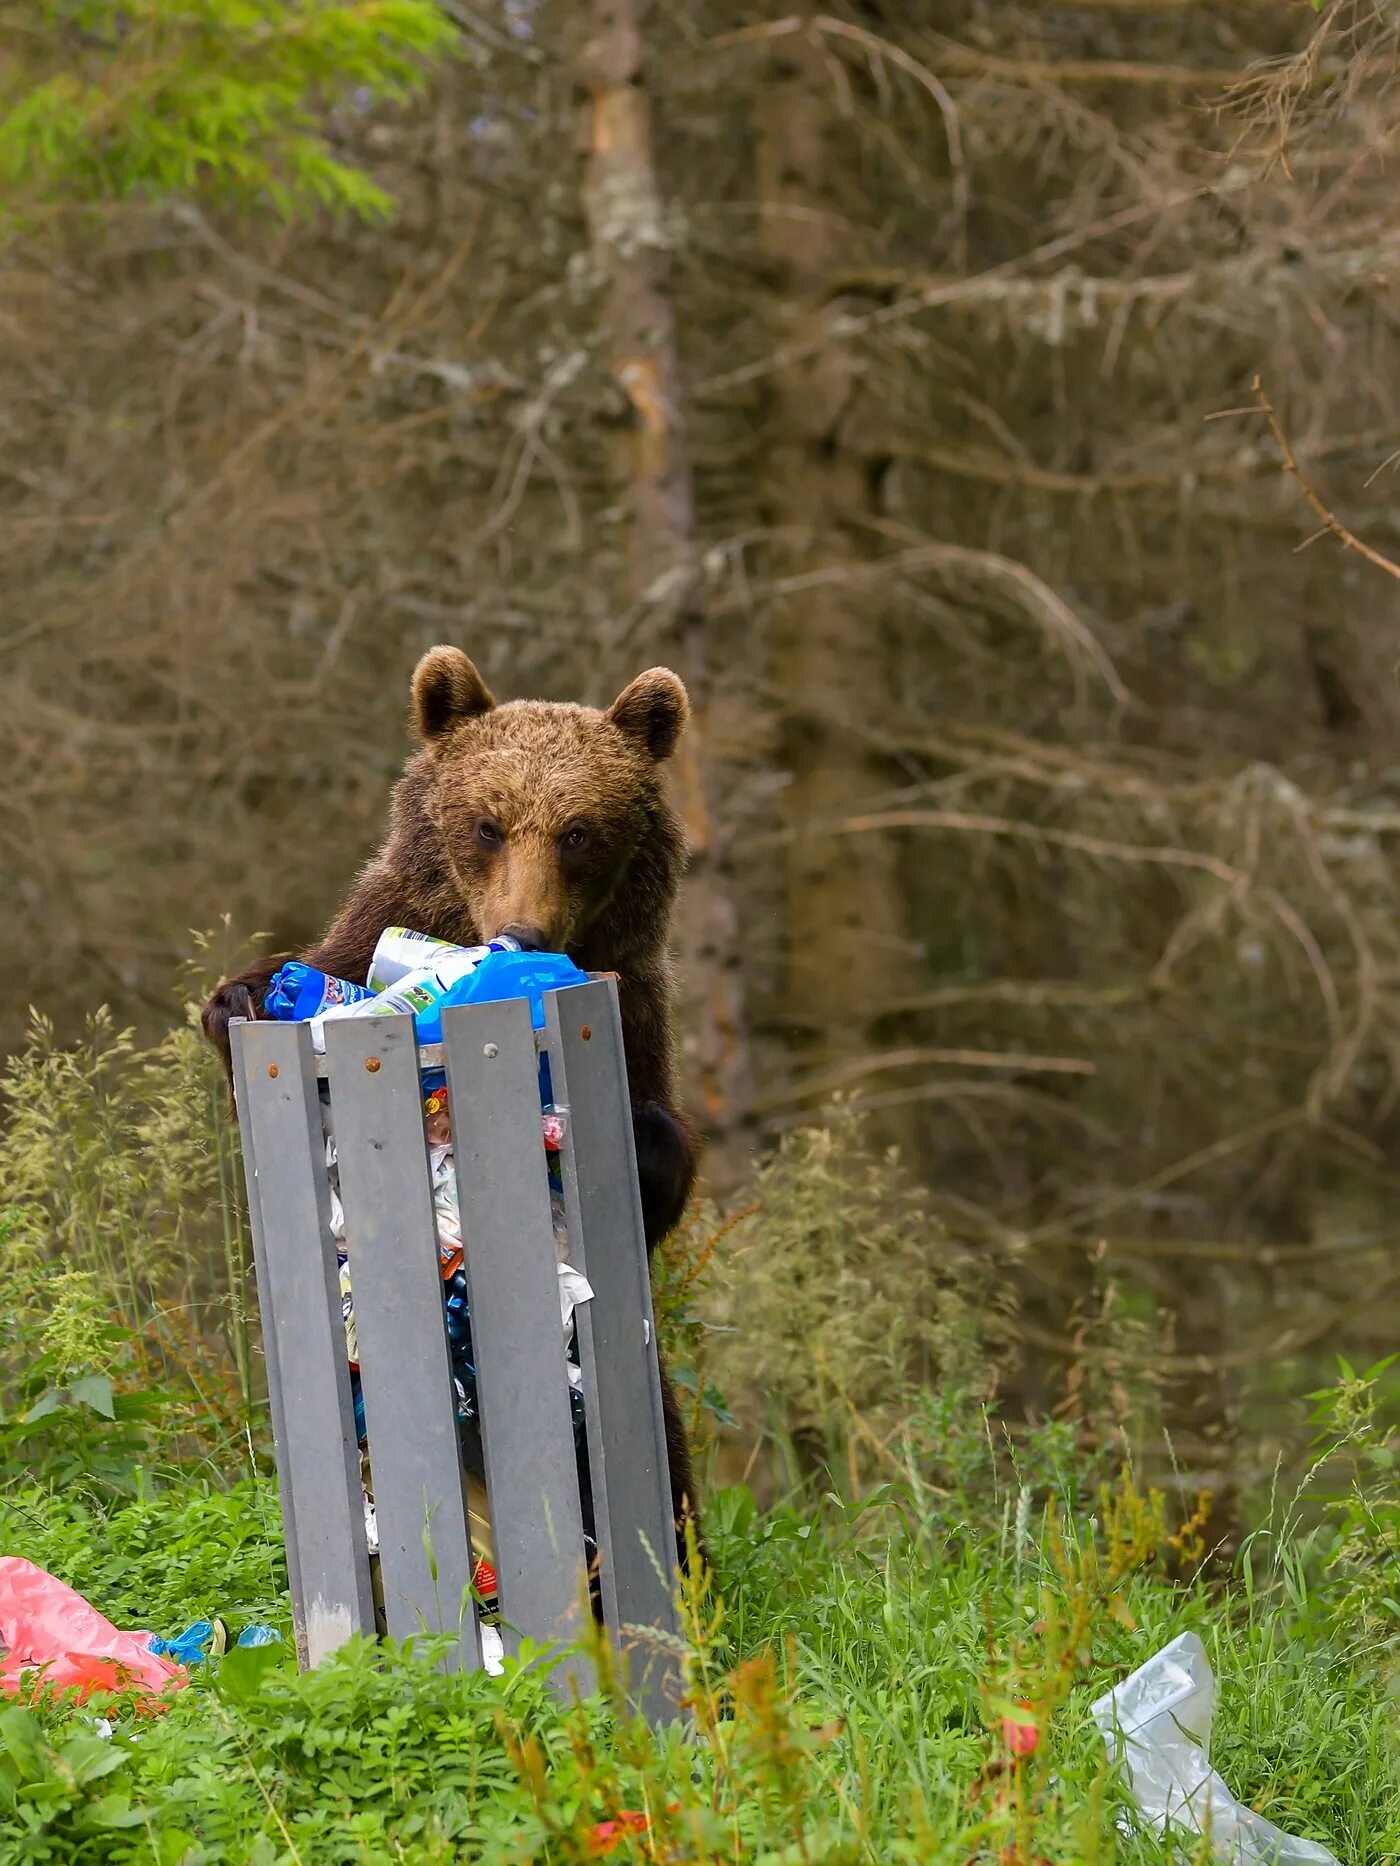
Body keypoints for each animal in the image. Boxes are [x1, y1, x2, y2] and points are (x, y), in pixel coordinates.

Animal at [202, 649, 705, 1552]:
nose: (526, 932)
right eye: (486, 824)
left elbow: (664, 1159)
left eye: (579, 831)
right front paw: (240, 1000)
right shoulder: (364, 937)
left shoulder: (640, 1016)